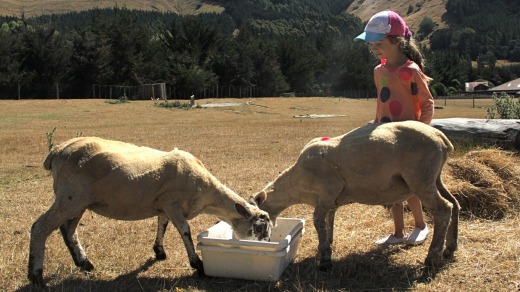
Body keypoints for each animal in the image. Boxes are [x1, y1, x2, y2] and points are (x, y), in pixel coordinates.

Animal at [28, 137, 272, 288]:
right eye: (259, 228)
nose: (267, 245)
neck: (206, 194)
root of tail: (56, 152)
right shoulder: (172, 202)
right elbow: (185, 231)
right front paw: (198, 265)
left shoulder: (163, 204)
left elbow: (162, 224)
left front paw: (159, 251)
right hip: (70, 196)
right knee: (40, 227)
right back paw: (36, 276)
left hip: (79, 202)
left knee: (68, 230)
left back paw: (84, 263)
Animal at [253, 120, 460, 270]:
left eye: (258, 220)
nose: (263, 241)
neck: (297, 183)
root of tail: (441, 138)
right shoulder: (329, 201)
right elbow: (328, 222)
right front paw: (326, 247)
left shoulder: (327, 192)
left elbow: (318, 222)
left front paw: (325, 259)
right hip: (434, 178)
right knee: (454, 204)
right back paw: (450, 249)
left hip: (421, 178)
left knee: (443, 210)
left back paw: (432, 257)